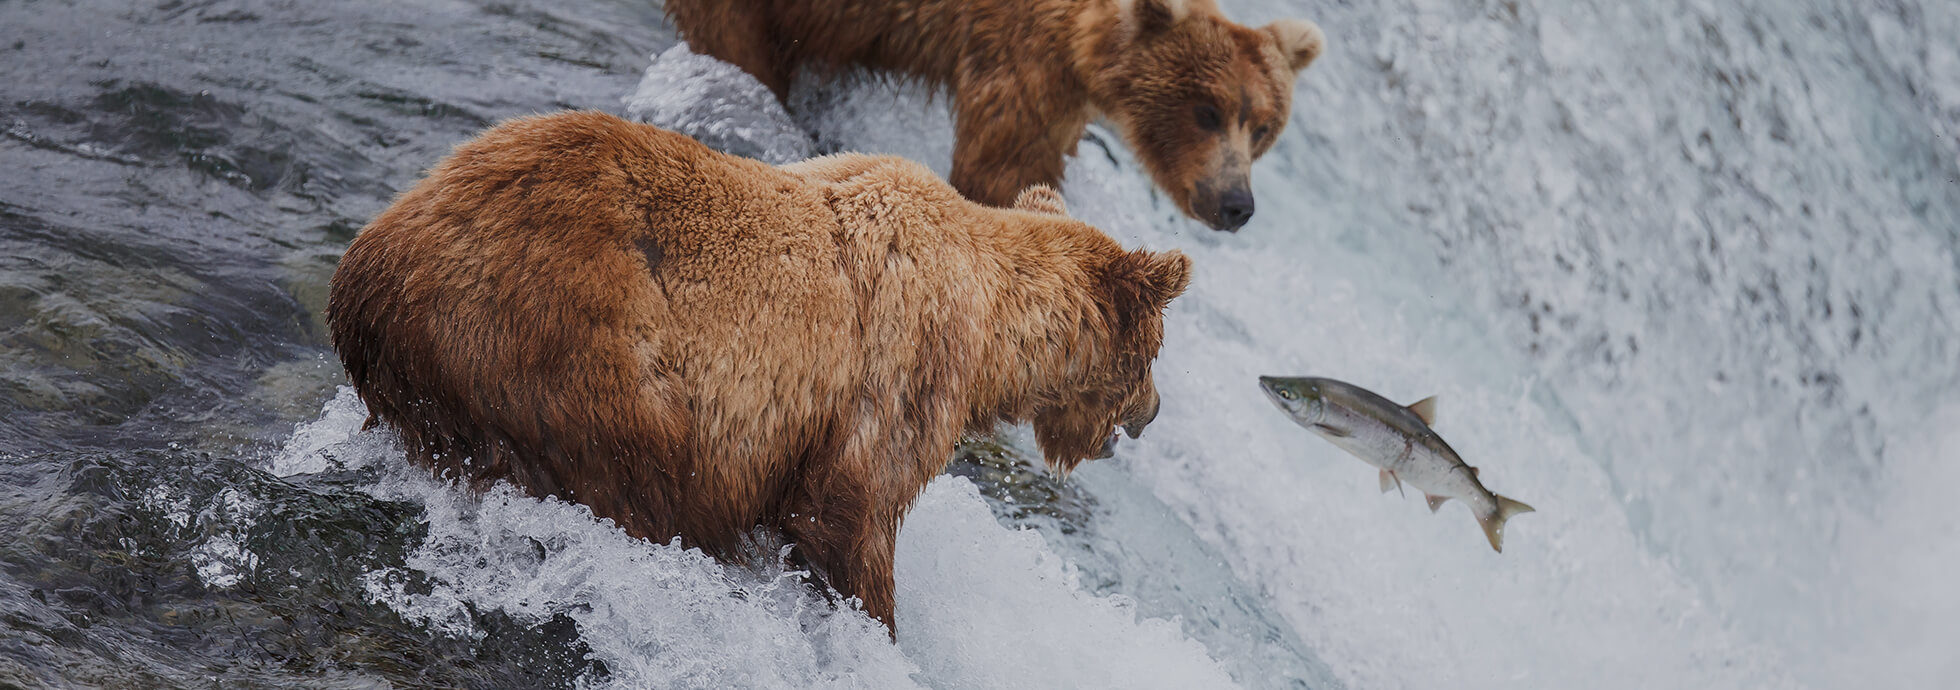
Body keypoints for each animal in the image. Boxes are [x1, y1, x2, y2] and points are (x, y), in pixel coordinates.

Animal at [327, 110, 1183, 627]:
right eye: (1154, 351)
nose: (1153, 411)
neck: (992, 337)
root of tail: (372, 266)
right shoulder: (899, 369)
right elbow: (853, 515)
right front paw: (876, 623)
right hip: (573, 344)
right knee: (641, 478)